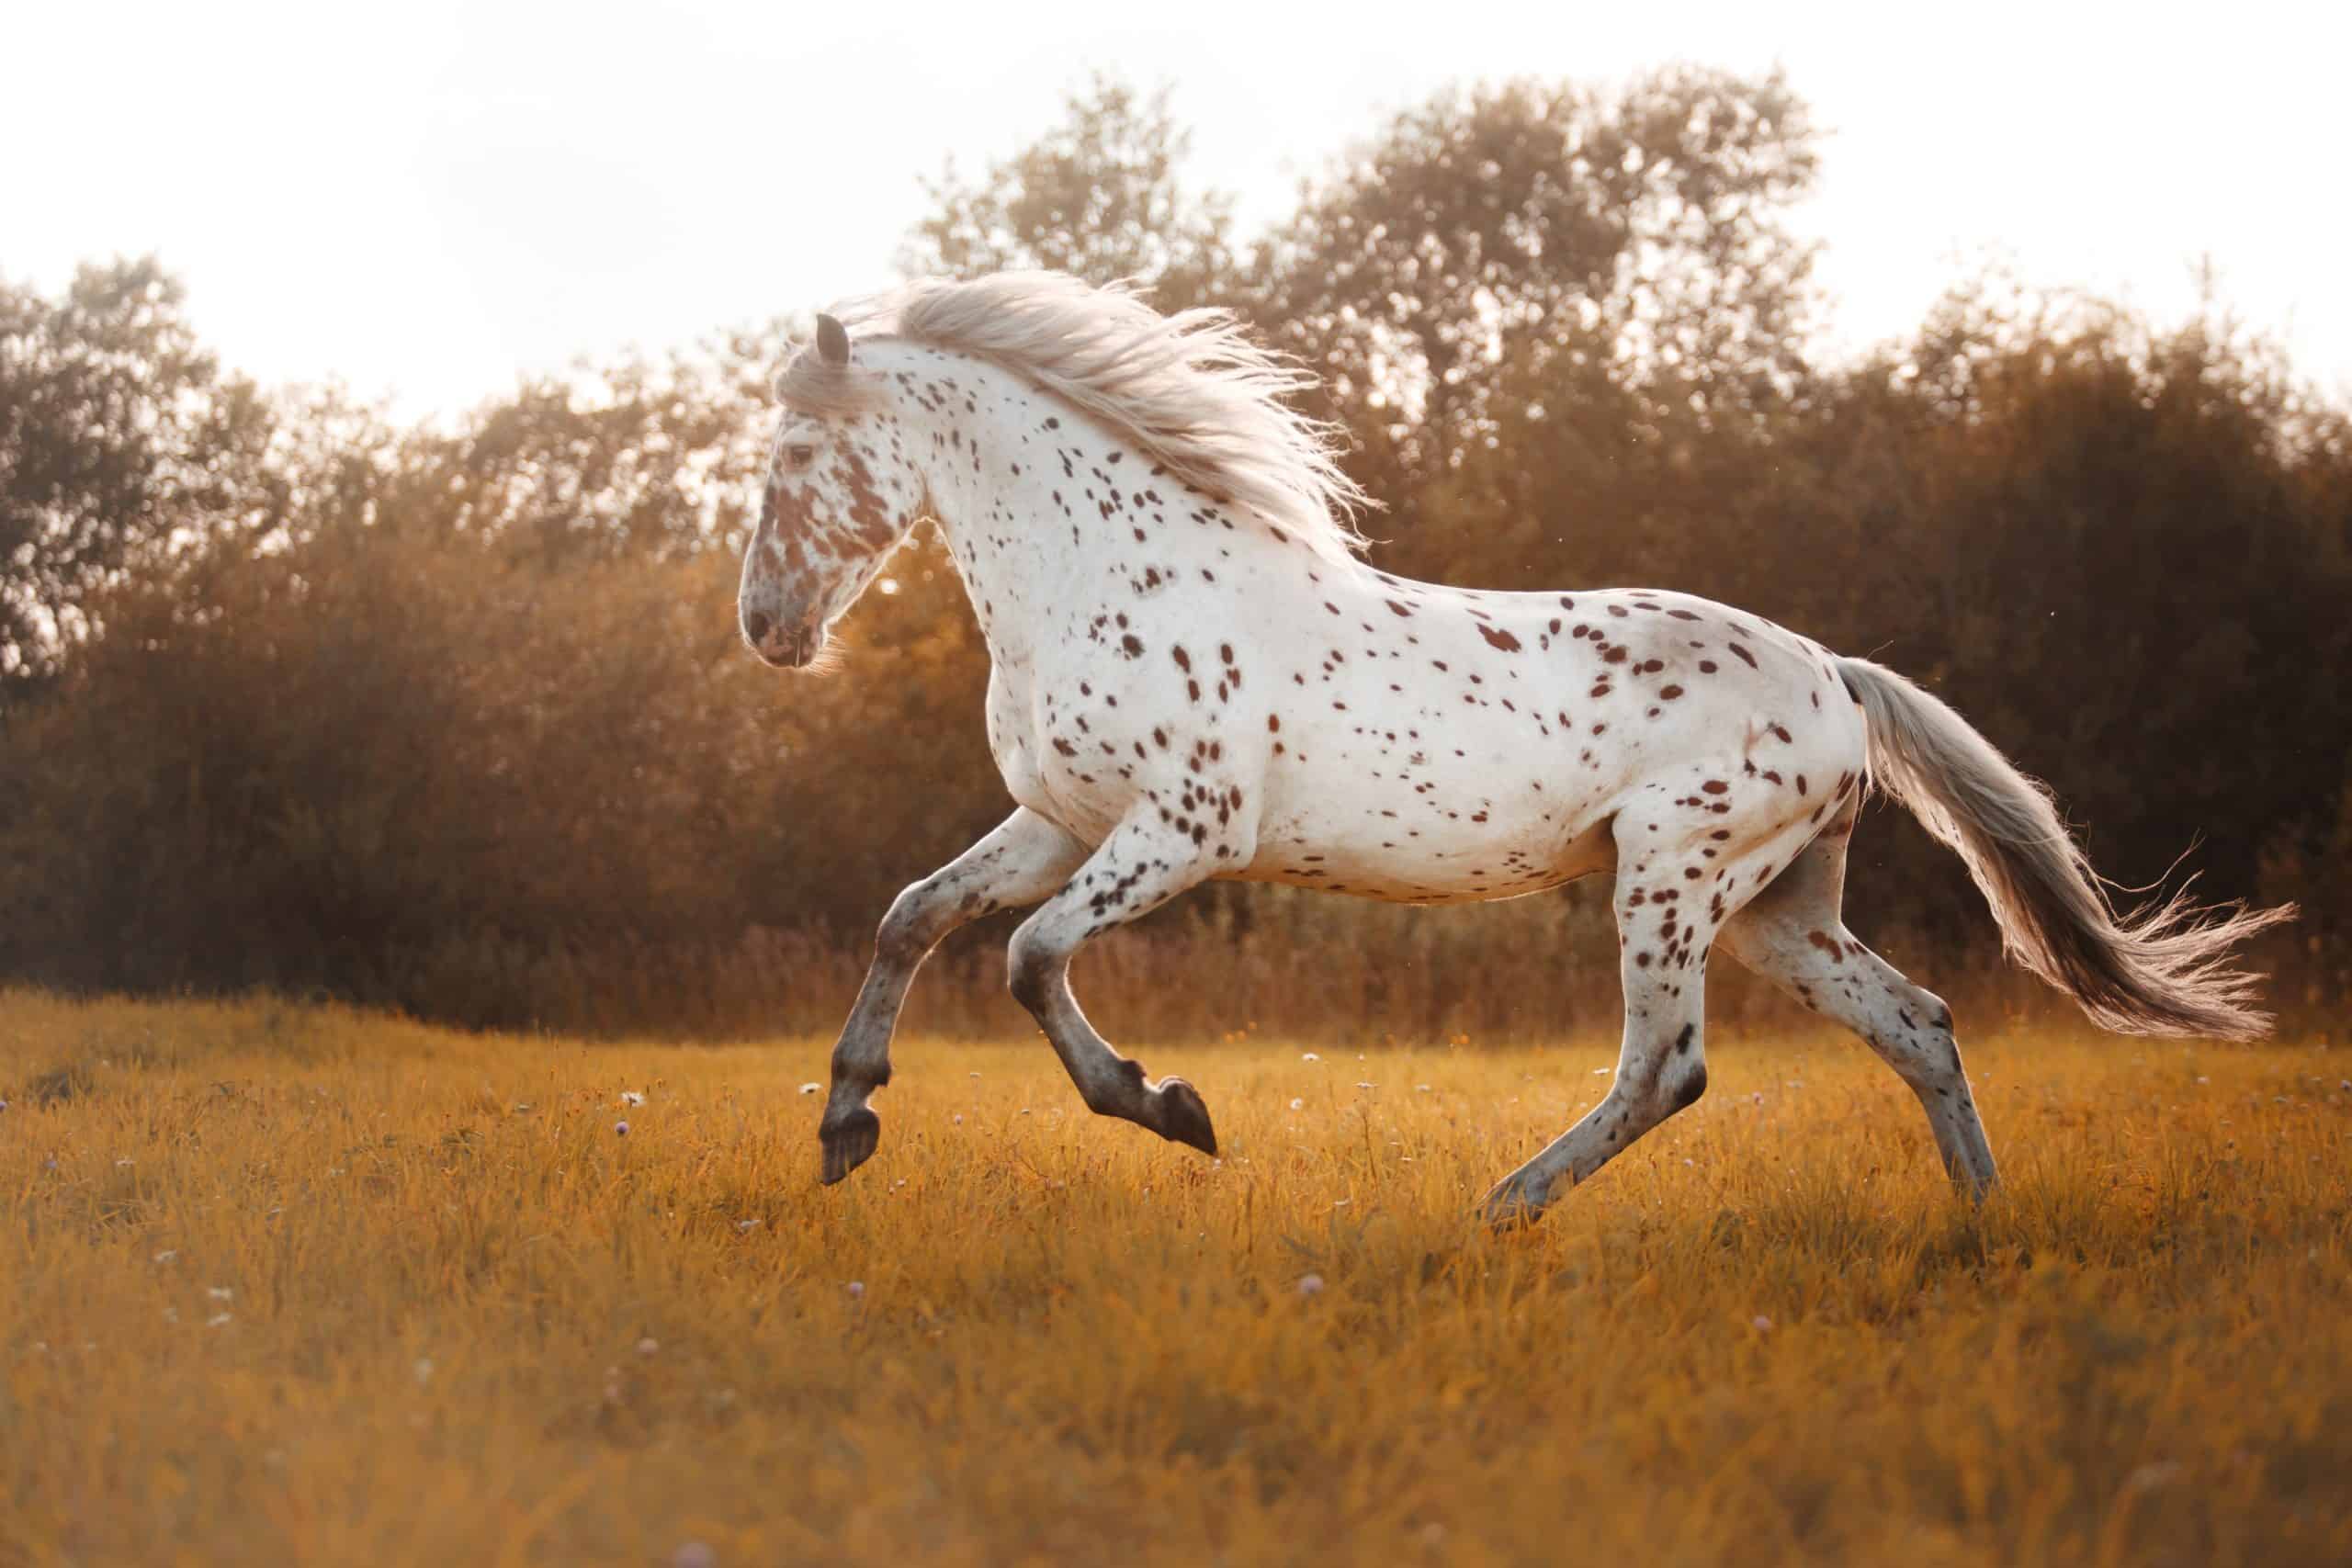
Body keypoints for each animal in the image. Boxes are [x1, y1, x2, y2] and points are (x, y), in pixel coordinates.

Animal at [738, 272, 2295, 1222]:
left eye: (796, 456)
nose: (766, 627)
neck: (1108, 571)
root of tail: (1838, 679)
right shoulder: (1062, 818)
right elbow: (914, 916)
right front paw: (845, 1124)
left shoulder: (1182, 829)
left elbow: (1026, 955)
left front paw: (1172, 1108)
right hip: (1779, 910)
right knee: (1918, 1022)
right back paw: (1977, 1219)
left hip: (1672, 876)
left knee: (1667, 1066)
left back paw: (1496, 1206)